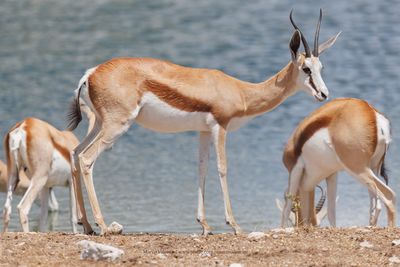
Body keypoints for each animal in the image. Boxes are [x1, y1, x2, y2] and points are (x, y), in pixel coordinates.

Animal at [2, 102, 94, 232]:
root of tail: (23, 126)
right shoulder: (72, 182)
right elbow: (73, 217)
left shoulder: (46, 187)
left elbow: (43, 217)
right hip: (39, 179)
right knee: (23, 208)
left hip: (14, 175)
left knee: (6, 210)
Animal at [68, 9, 338, 237]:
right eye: (306, 69)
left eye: (321, 67)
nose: (323, 94)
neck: (240, 91)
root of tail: (91, 74)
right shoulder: (221, 127)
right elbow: (222, 168)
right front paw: (234, 225)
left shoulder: (203, 131)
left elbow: (202, 168)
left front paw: (205, 225)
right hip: (117, 126)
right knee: (87, 159)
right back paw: (103, 226)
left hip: (99, 124)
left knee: (75, 153)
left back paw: (87, 227)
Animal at [280, 98, 396, 228]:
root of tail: (371, 112)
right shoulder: (331, 174)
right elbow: (331, 212)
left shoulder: (294, 169)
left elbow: (286, 209)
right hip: (374, 167)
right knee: (375, 204)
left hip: (357, 168)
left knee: (388, 195)